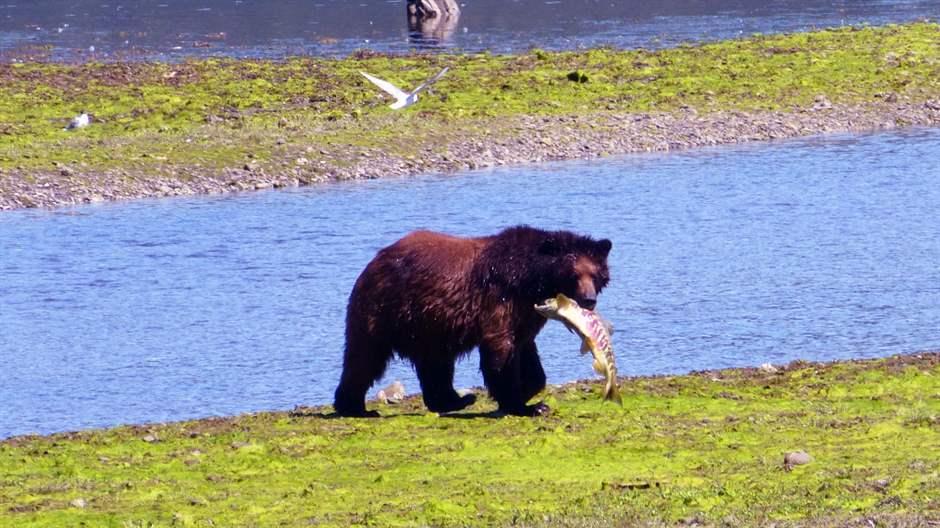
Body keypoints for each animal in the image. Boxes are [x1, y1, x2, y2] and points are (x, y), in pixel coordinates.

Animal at [334, 225, 612, 418]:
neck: (531, 280)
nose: (588, 300)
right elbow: (501, 350)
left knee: (435, 363)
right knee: (365, 357)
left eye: (594, 274)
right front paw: (524, 404)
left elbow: (525, 349)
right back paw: (356, 407)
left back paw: (455, 399)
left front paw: (528, 390)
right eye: (574, 274)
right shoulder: (499, 299)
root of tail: (373, 262)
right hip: (385, 310)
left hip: (429, 324)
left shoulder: (526, 314)